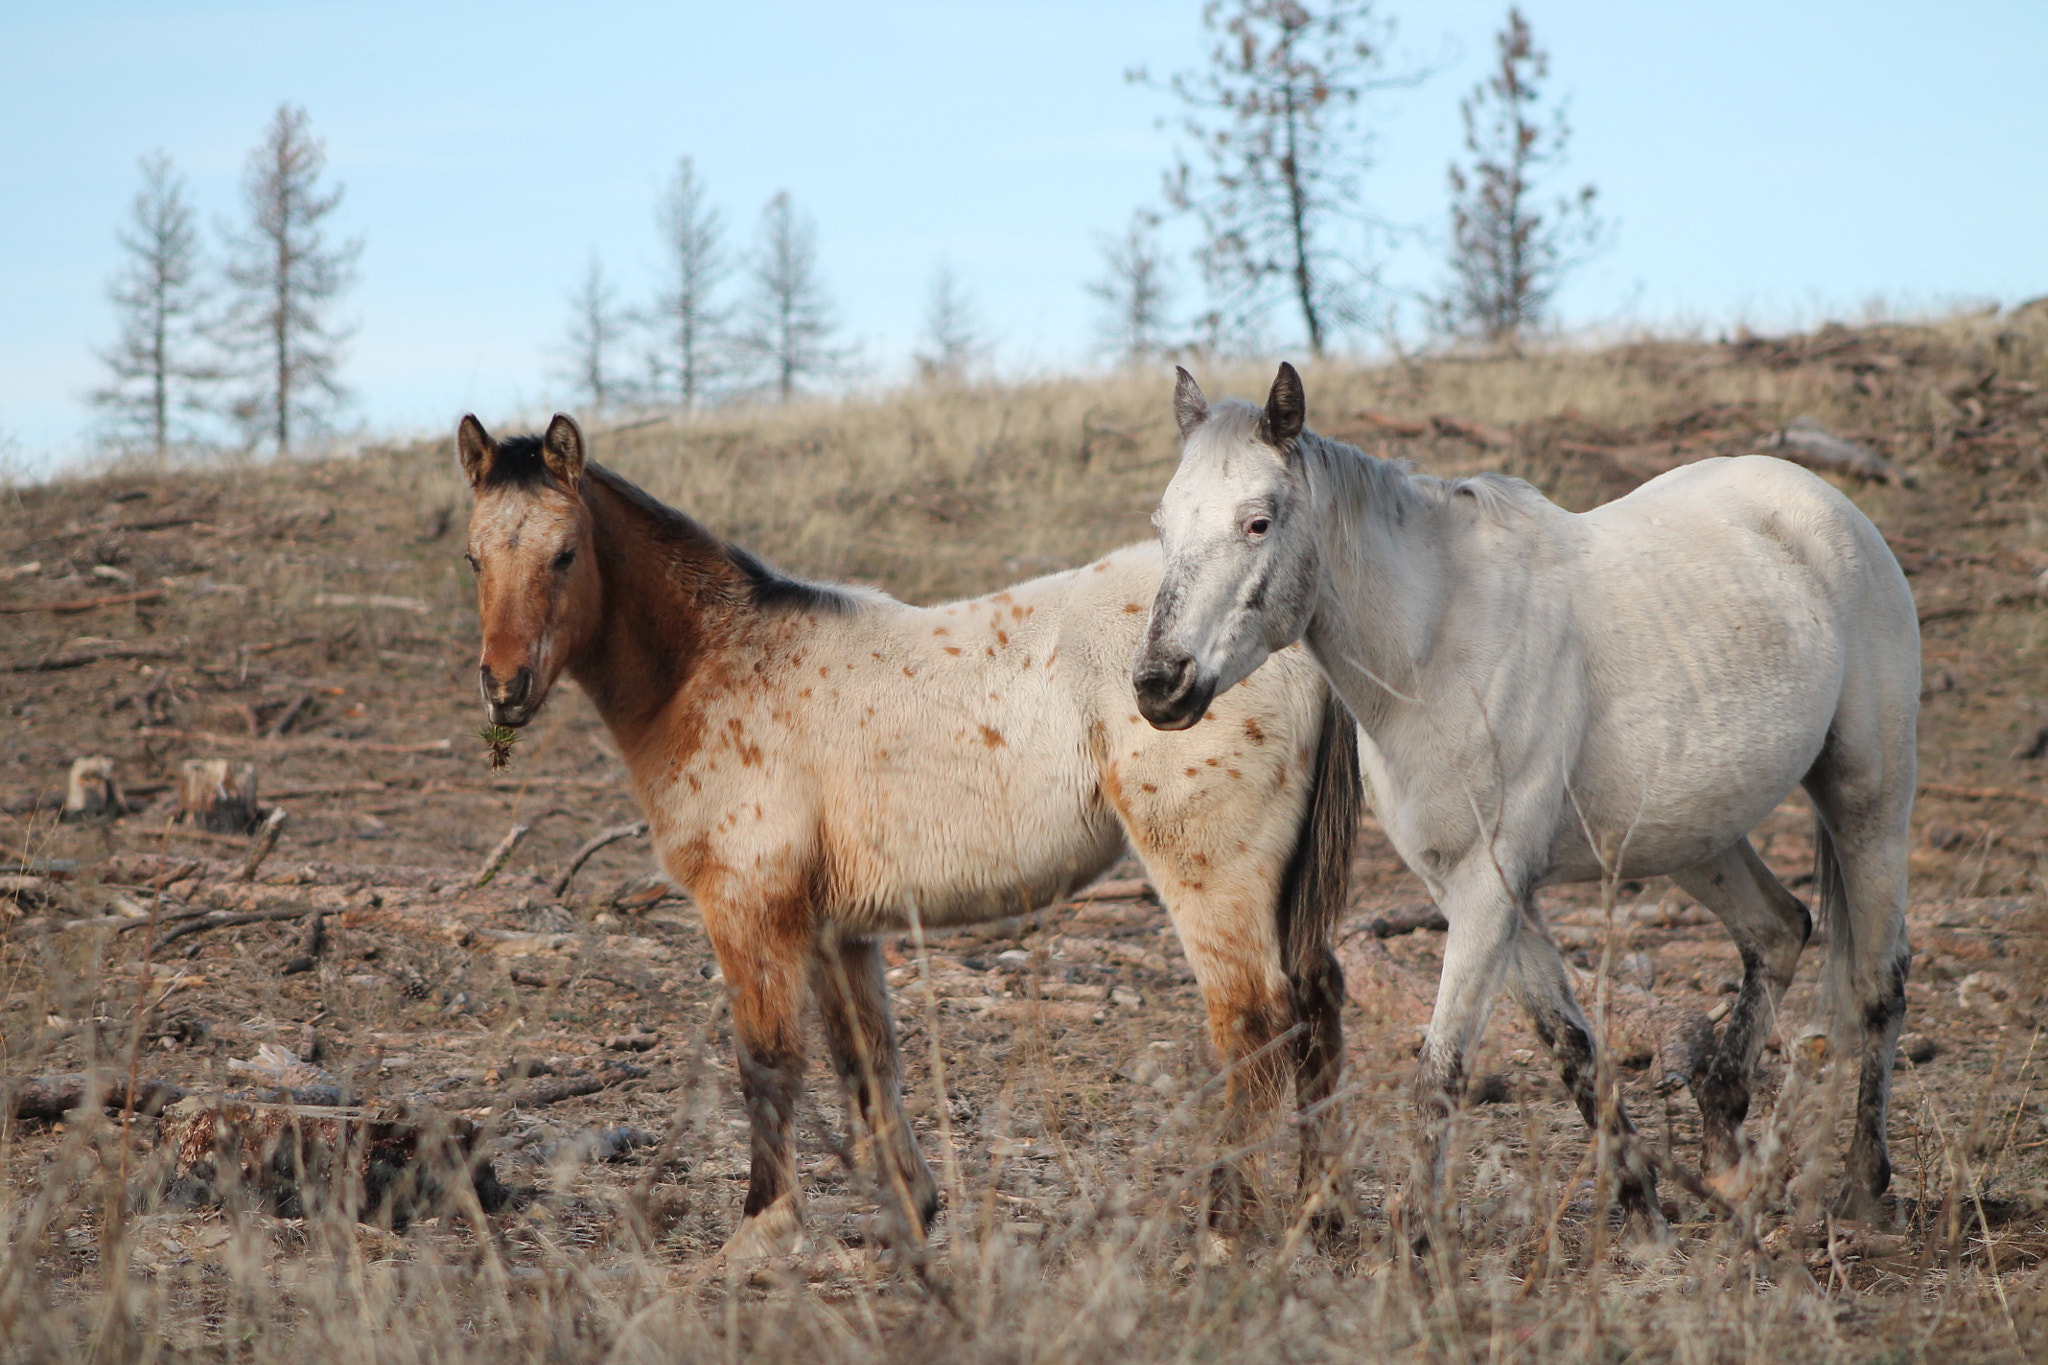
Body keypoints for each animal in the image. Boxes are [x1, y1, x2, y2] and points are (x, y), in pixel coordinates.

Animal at [460, 413, 1359, 1260]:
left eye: (565, 554)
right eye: (473, 559)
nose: (505, 688)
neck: (717, 663)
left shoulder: (750, 908)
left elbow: (766, 1060)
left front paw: (761, 1230)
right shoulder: (838, 930)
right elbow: (866, 1058)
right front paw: (908, 1210)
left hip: (1209, 873)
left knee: (1252, 1023)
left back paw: (1222, 1232)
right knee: (1316, 1003)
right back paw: (1317, 1215)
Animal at [1138, 368, 1916, 1244]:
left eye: (1258, 521)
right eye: (1163, 524)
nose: (1159, 684)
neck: (1437, 647)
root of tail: (1827, 505)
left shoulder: (1490, 887)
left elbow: (1443, 1066)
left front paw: (1416, 1240)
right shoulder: (1475, 891)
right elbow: (1571, 1045)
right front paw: (1642, 1207)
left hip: (1868, 800)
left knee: (1877, 981)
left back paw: (1860, 1185)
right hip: (1699, 838)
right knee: (1781, 929)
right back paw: (1730, 1150)